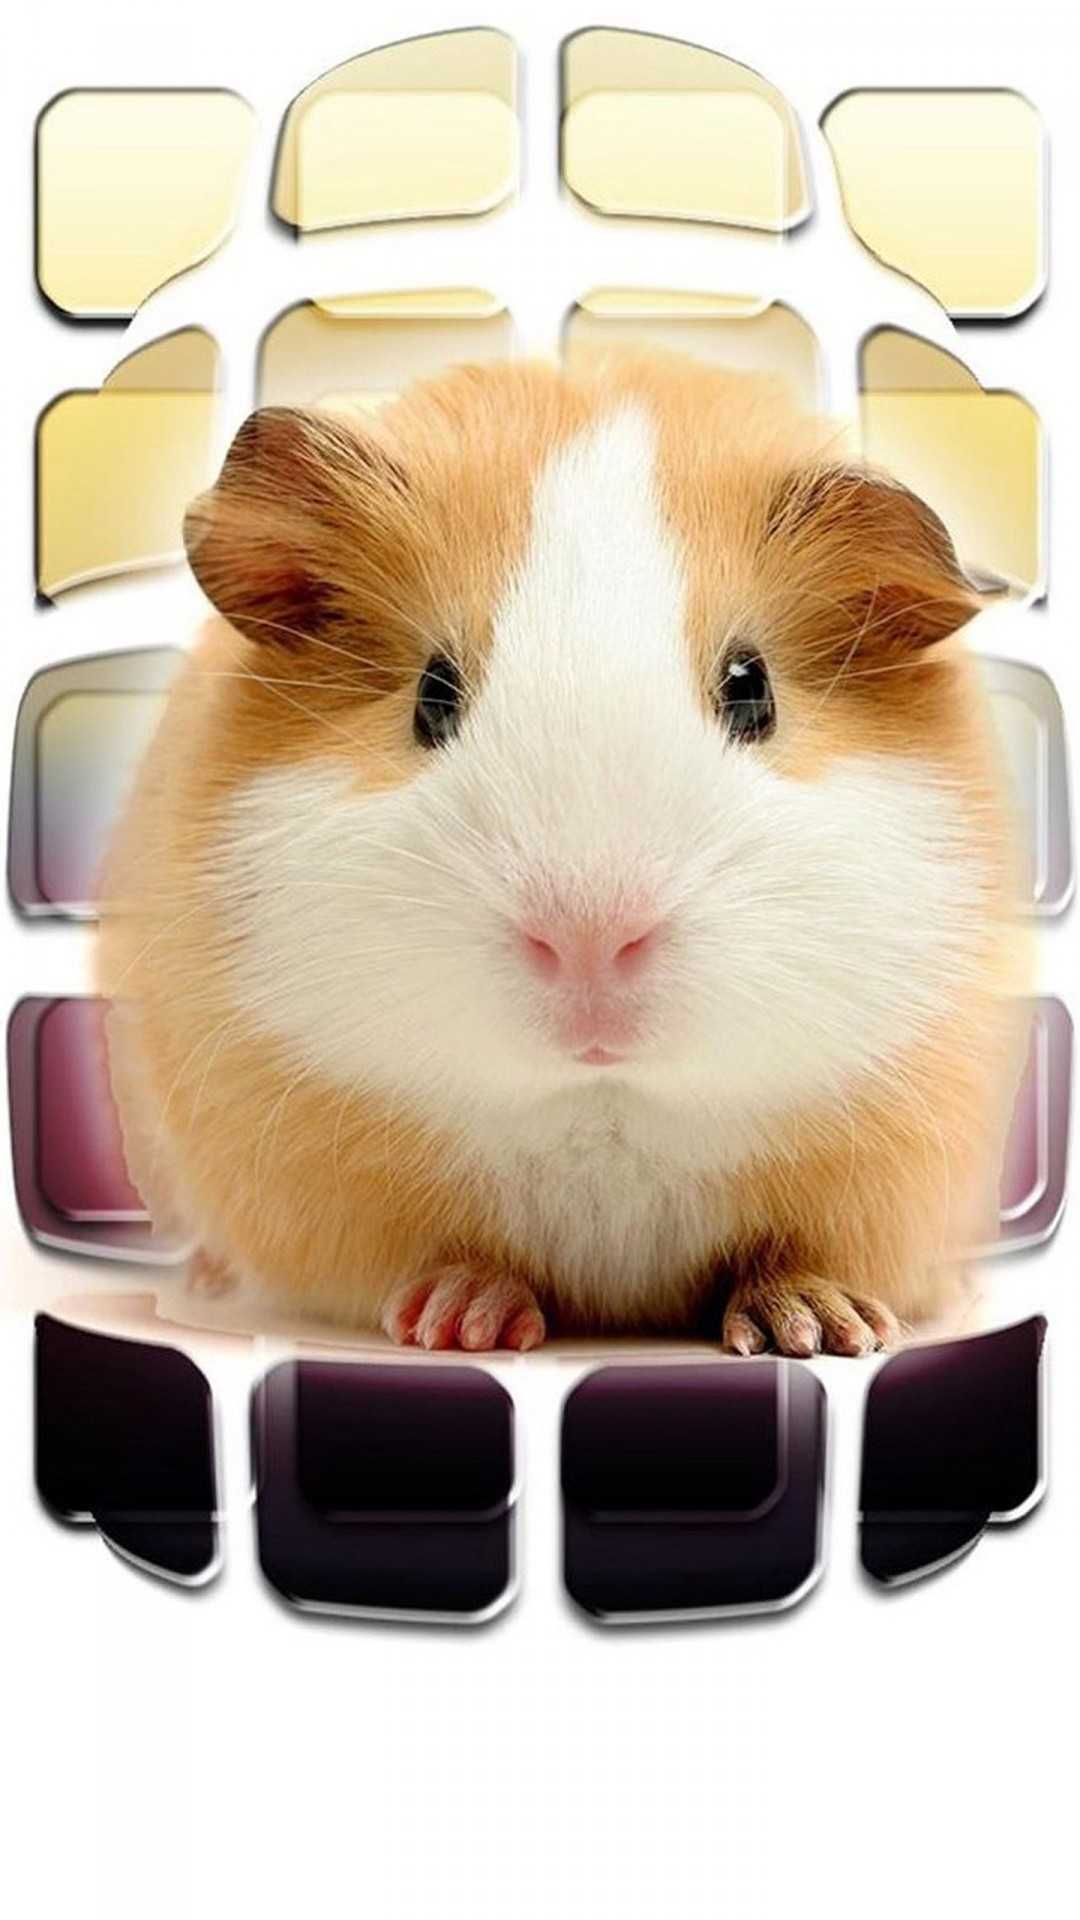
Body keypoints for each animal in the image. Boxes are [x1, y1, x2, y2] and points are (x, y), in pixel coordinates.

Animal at [96, 351, 1028, 1356]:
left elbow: (798, 1254)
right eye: (431, 695)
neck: (603, 1107)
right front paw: (460, 1322)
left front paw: (820, 1330)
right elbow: (441, 1258)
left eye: (753, 690)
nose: (589, 940)